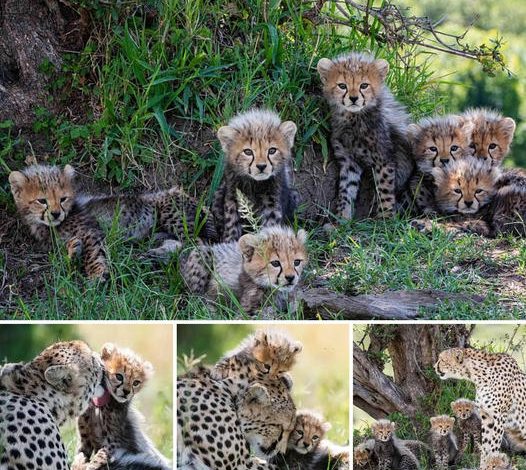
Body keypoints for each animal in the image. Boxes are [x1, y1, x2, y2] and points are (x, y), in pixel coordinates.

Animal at [318, 51, 416, 220]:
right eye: (342, 86)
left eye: (364, 85)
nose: (353, 98)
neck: (353, 118)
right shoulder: (349, 161)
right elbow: (346, 190)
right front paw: (342, 218)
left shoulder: (384, 160)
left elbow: (384, 190)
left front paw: (385, 219)